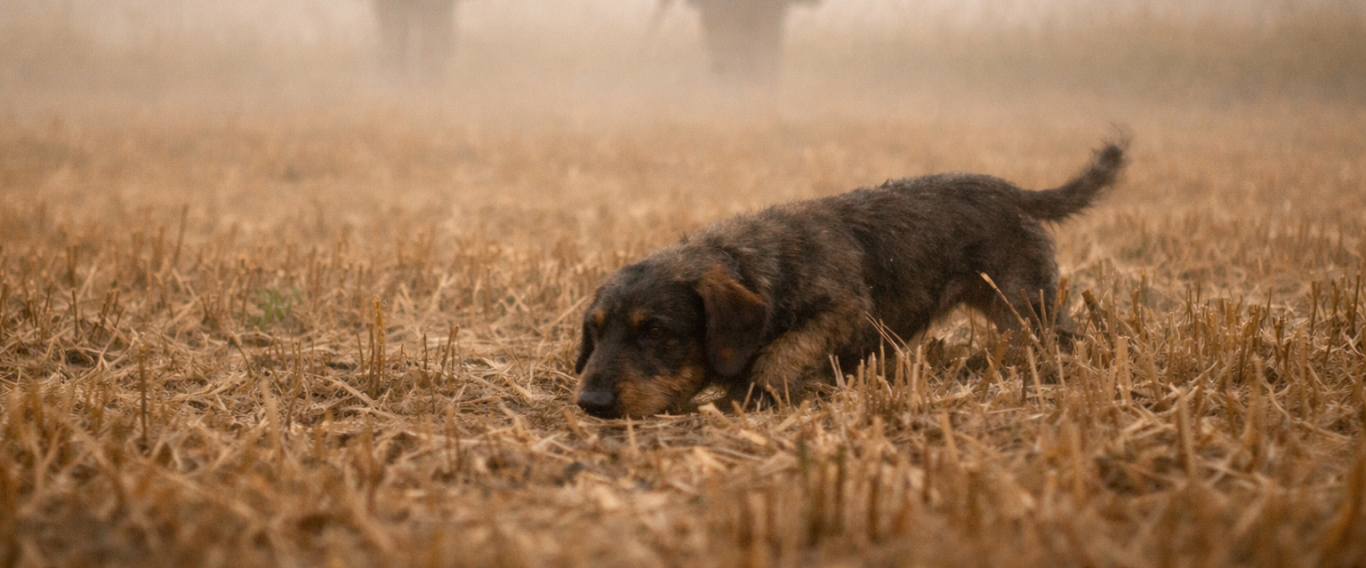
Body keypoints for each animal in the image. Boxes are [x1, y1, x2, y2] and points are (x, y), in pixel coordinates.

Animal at [574, 140, 1127, 419]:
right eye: (594, 331)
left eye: (656, 331)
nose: (591, 404)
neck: (753, 261)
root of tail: (1010, 190)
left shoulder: (845, 310)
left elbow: (786, 349)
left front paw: (752, 393)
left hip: (1025, 306)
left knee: (1062, 339)